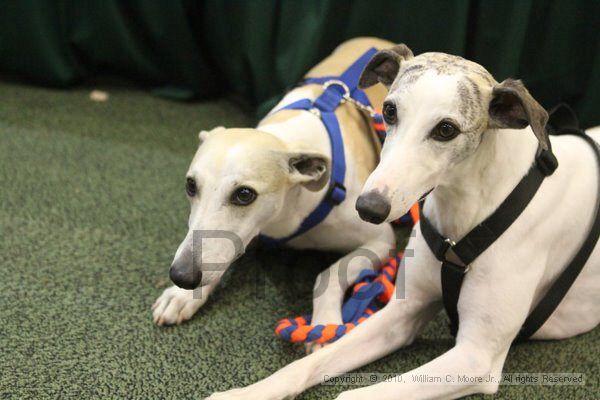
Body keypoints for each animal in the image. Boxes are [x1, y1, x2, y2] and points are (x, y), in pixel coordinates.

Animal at [151, 38, 398, 344]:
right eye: (190, 185)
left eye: (244, 194)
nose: (181, 276)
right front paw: (181, 297)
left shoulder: (381, 239)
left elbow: (328, 274)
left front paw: (324, 325)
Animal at [207, 44, 600, 400]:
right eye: (389, 110)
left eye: (446, 129)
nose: (368, 207)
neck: (467, 216)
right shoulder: (402, 312)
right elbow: (305, 365)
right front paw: (243, 394)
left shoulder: (476, 356)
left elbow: (353, 395)